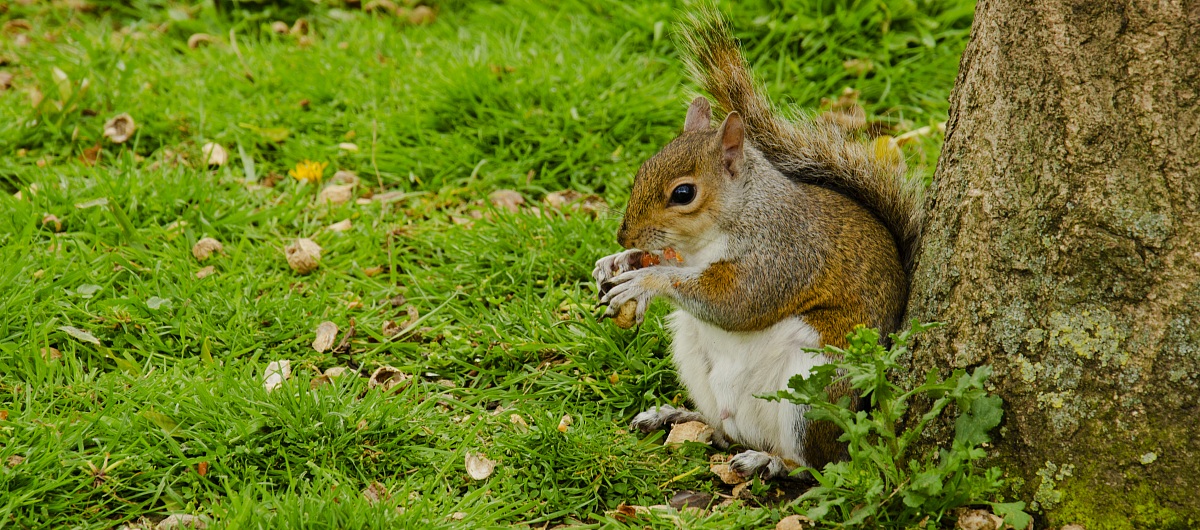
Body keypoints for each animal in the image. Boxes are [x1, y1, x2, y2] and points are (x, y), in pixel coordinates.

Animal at [592, 8, 923, 479]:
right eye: (642, 169)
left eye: (683, 193)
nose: (624, 234)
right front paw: (617, 261)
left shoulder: (784, 253)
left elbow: (737, 302)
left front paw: (644, 281)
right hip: (692, 352)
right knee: (723, 430)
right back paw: (678, 415)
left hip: (814, 386)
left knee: (819, 464)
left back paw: (769, 459)